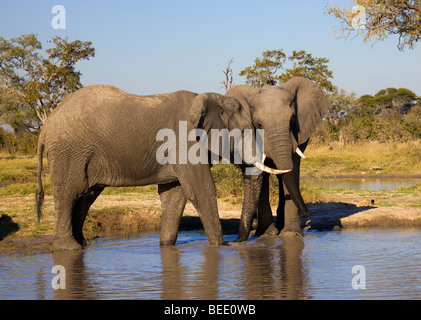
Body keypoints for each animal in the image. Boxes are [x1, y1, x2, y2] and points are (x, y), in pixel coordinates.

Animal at [34, 85, 256, 250]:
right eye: (245, 131)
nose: (238, 242)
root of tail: (46, 125)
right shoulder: (185, 141)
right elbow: (201, 189)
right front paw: (221, 247)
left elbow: (174, 194)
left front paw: (165, 246)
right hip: (69, 152)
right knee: (69, 193)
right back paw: (68, 248)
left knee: (86, 196)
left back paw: (82, 244)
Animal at [225, 76, 330, 240]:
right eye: (258, 124)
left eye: (292, 120)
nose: (307, 214)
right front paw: (267, 234)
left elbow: (292, 168)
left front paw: (291, 234)